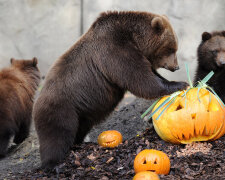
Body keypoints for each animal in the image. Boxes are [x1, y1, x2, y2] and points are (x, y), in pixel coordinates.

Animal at [33, 11, 188, 169]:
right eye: (171, 48)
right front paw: (180, 84)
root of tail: (37, 100)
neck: (134, 37)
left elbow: (150, 74)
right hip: (61, 108)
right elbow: (140, 78)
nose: (176, 67)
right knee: (56, 136)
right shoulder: (114, 51)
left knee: (80, 128)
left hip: (81, 113)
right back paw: (52, 163)